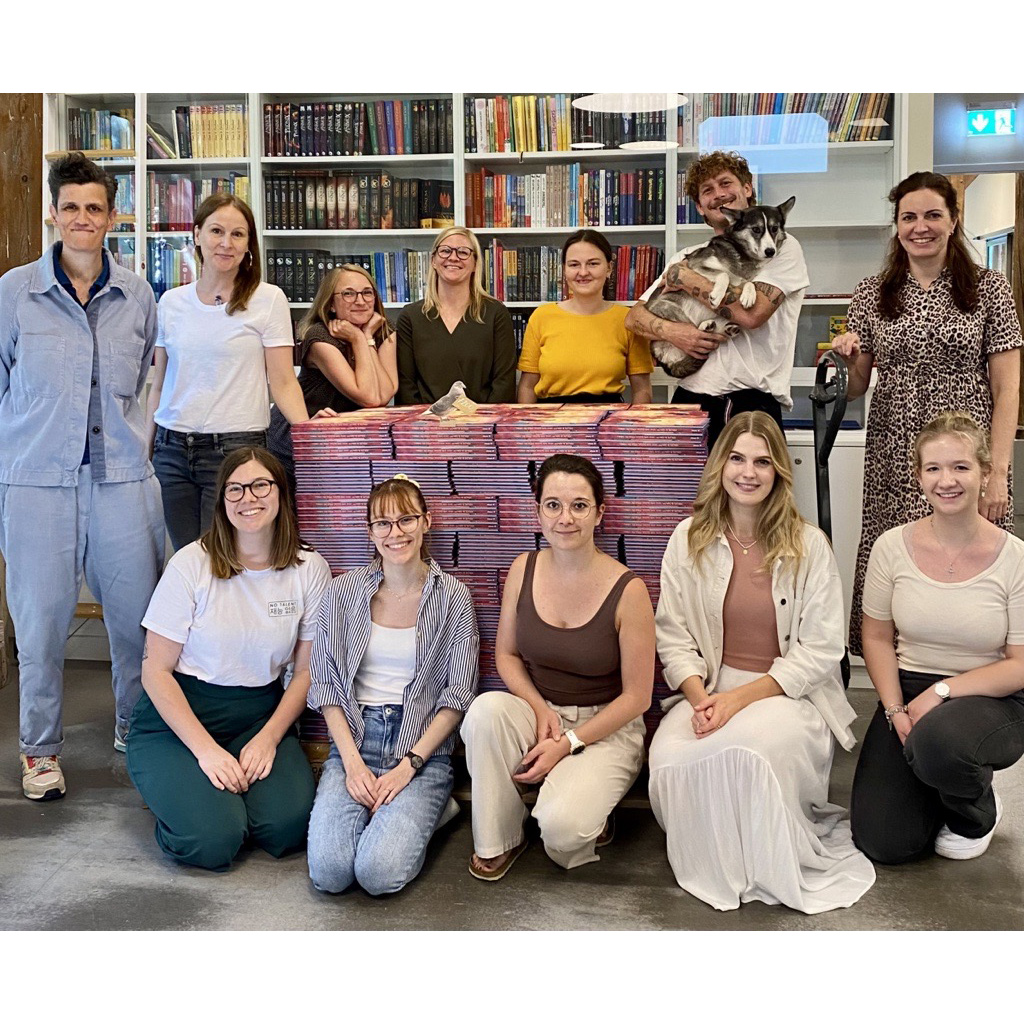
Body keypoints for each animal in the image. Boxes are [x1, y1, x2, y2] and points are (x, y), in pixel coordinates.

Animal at [647, 193, 798, 378]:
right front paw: (717, 295)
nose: (771, 252)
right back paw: (706, 326)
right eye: (756, 229)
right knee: (691, 331)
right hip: (670, 310)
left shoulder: (741, 280)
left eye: (774, 228)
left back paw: (723, 329)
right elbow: (724, 274)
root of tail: (663, 357)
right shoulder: (696, 265)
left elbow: (749, 283)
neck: (741, 253)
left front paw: (749, 296)